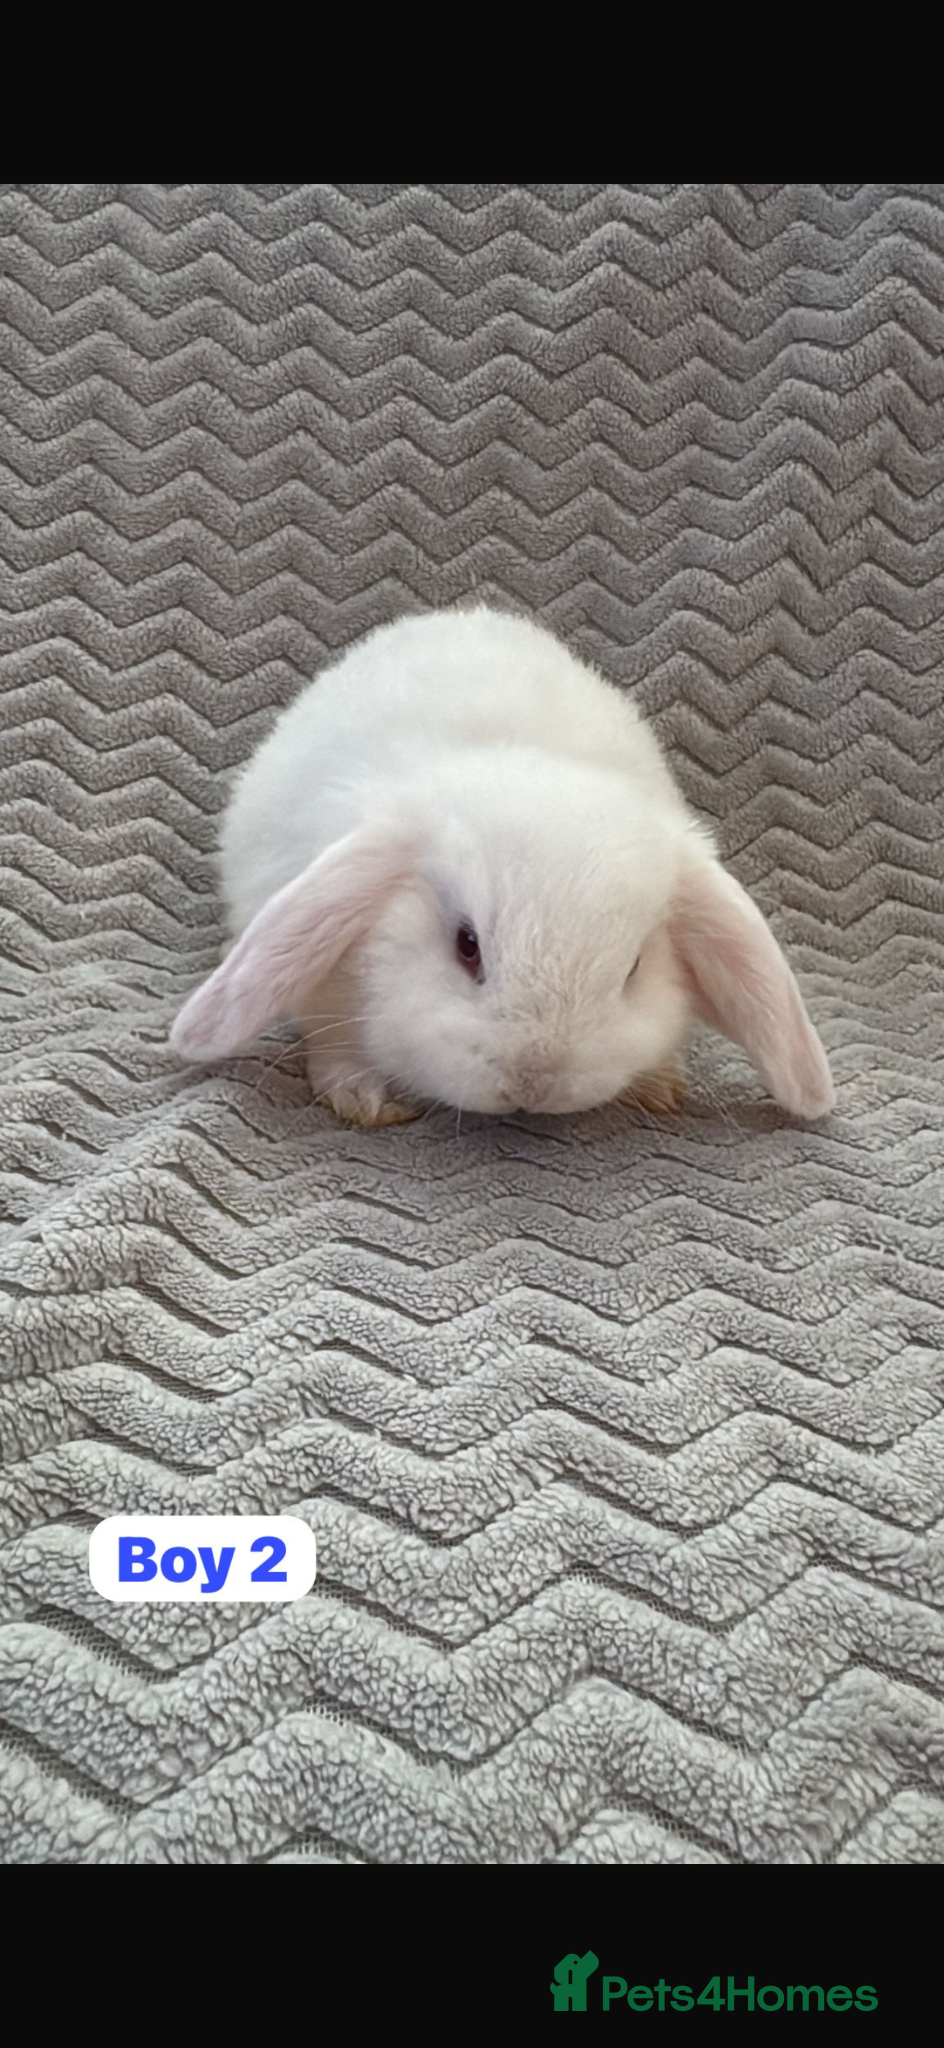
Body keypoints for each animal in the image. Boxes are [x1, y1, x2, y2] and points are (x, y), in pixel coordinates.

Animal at [170, 606, 835, 1128]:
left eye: (634, 968)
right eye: (467, 946)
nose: (533, 1081)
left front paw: (658, 1085)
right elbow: (335, 1044)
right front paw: (365, 1098)